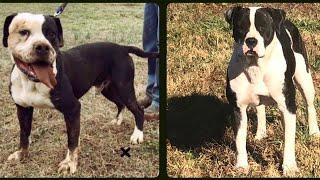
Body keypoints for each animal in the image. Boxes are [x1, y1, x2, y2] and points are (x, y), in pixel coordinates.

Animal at [1, 12, 158, 173]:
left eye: (52, 34)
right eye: (23, 32)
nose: (42, 46)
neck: (32, 81)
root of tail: (122, 48)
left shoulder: (73, 109)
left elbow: (72, 140)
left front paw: (69, 163)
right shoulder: (23, 108)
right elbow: (24, 133)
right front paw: (22, 154)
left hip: (124, 88)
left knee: (138, 109)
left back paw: (137, 135)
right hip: (109, 89)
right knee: (121, 104)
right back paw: (117, 121)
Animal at [225, 6, 320, 175]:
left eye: (263, 27)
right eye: (241, 27)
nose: (251, 41)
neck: (256, 66)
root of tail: (286, 21)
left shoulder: (288, 107)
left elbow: (289, 139)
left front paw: (289, 167)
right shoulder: (238, 109)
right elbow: (239, 139)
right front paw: (241, 166)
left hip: (305, 79)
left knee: (310, 106)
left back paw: (314, 132)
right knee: (260, 108)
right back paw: (261, 133)